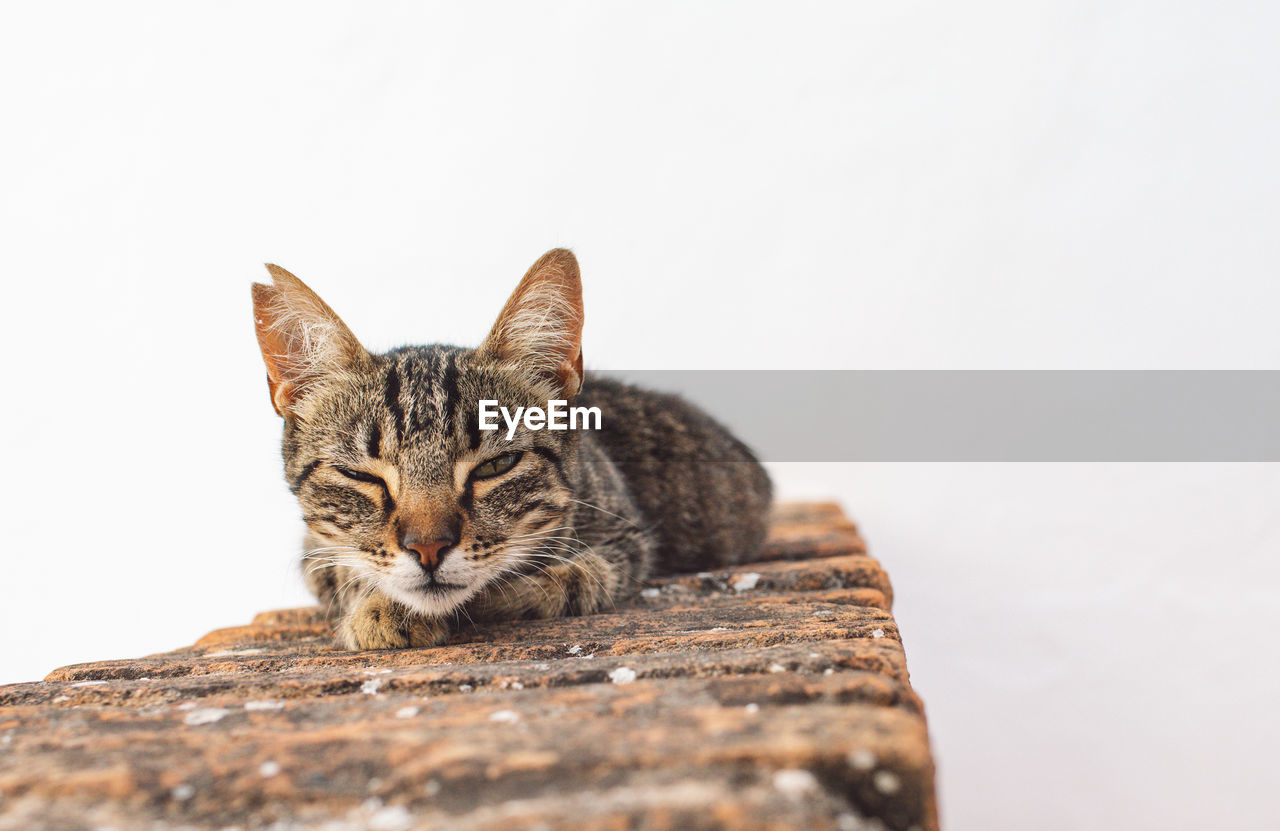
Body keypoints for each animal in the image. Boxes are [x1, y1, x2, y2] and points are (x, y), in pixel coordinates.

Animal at [249, 245, 768, 647]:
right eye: (359, 475)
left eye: (496, 466)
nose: (429, 548)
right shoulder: (313, 552)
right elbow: (340, 566)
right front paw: (383, 609)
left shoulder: (626, 542)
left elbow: (564, 580)